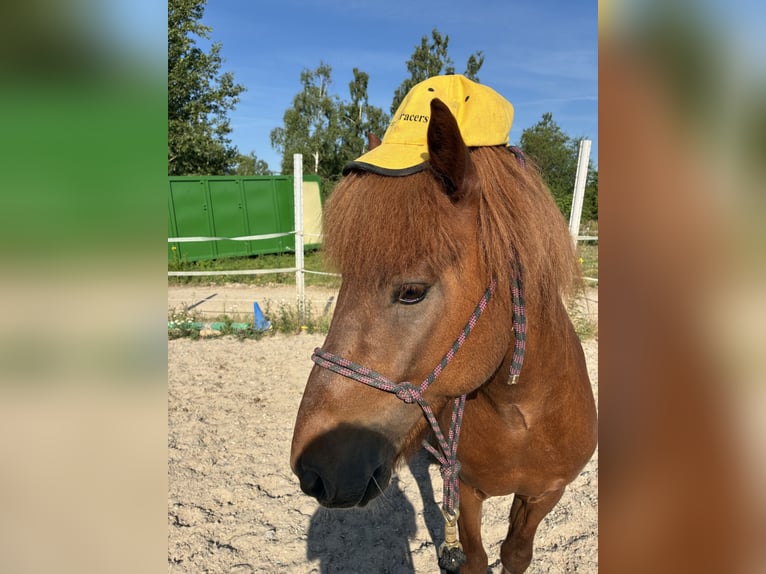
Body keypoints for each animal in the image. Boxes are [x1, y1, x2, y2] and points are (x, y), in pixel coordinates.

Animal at [290, 97, 597, 574]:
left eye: (412, 291)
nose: (314, 470)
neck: (522, 417)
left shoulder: (545, 493)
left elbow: (516, 553)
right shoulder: (466, 490)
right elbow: (474, 556)